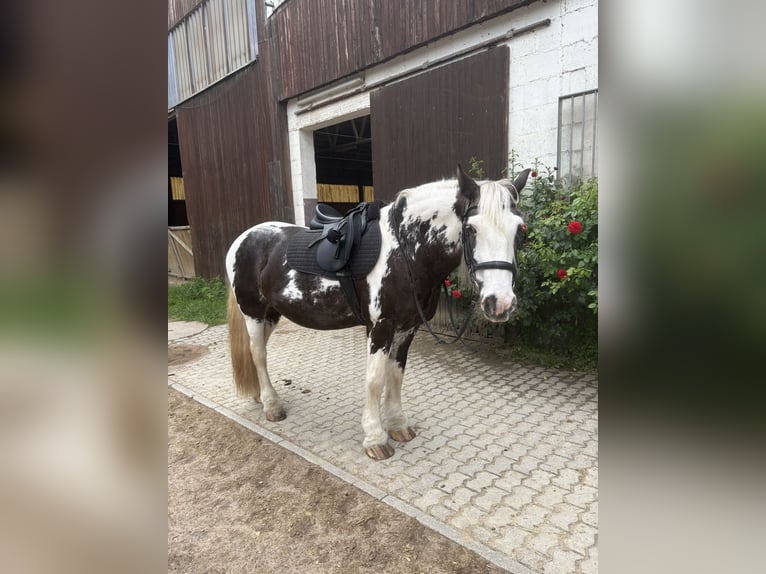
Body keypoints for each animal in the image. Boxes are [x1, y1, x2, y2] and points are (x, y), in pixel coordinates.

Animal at [225, 165, 530, 460]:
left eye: (519, 229)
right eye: (472, 229)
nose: (501, 303)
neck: (406, 252)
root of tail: (243, 238)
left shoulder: (408, 327)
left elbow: (396, 375)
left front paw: (398, 425)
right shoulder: (381, 327)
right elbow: (374, 380)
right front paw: (375, 438)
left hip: (271, 314)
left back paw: (260, 396)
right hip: (253, 311)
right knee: (258, 354)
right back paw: (272, 405)